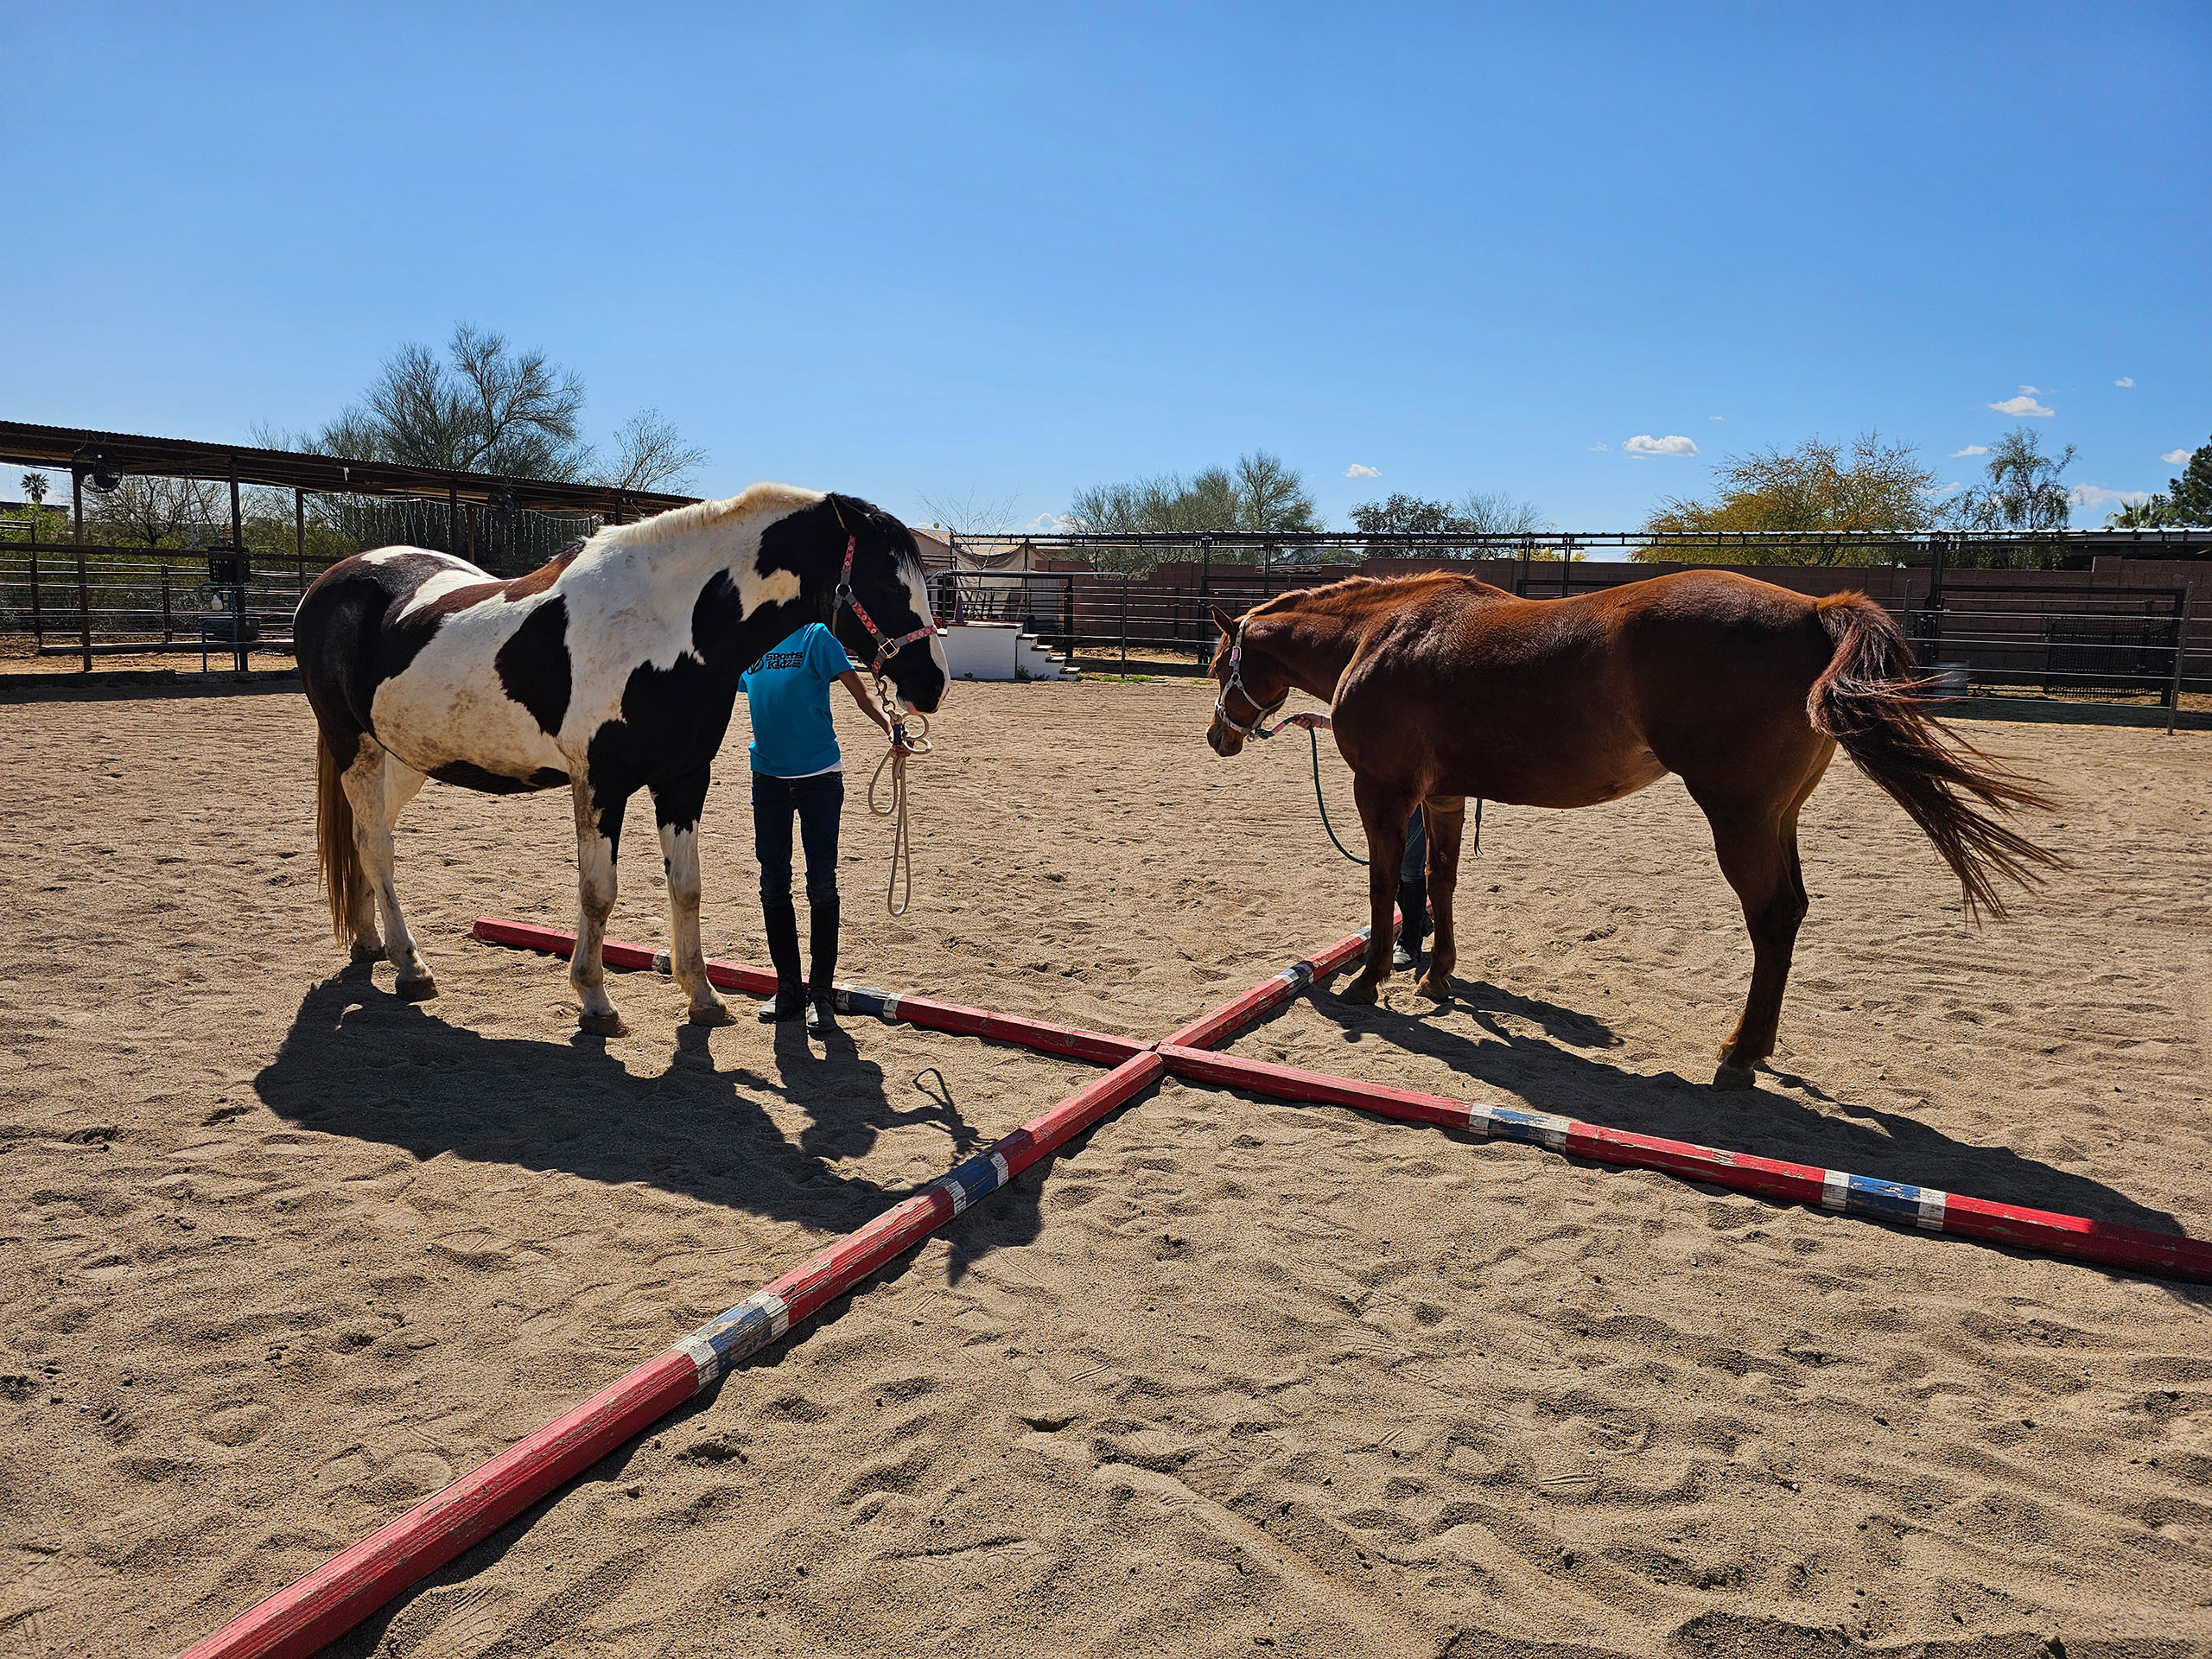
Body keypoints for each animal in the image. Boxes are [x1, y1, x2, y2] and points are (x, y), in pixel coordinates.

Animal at [298, 480, 946, 1035]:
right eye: (891, 586)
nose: (932, 684)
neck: (667, 626)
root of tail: (329, 581)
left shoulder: (684, 781)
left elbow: (686, 886)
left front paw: (703, 996)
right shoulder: (600, 784)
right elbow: (598, 891)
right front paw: (595, 1000)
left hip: (403, 758)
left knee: (365, 840)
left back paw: (370, 942)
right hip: (354, 745)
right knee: (377, 848)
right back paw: (411, 967)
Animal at [1211, 570, 2052, 1092]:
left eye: (1222, 661)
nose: (1218, 736)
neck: (1383, 636)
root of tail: (1817, 610)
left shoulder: (1382, 792)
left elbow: (1386, 883)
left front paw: (1369, 983)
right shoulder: (1444, 797)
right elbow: (1441, 885)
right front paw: (1436, 976)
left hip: (1739, 817)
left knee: (1772, 917)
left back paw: (1739, 1054)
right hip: (1777, 816)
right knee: (1792, 913)